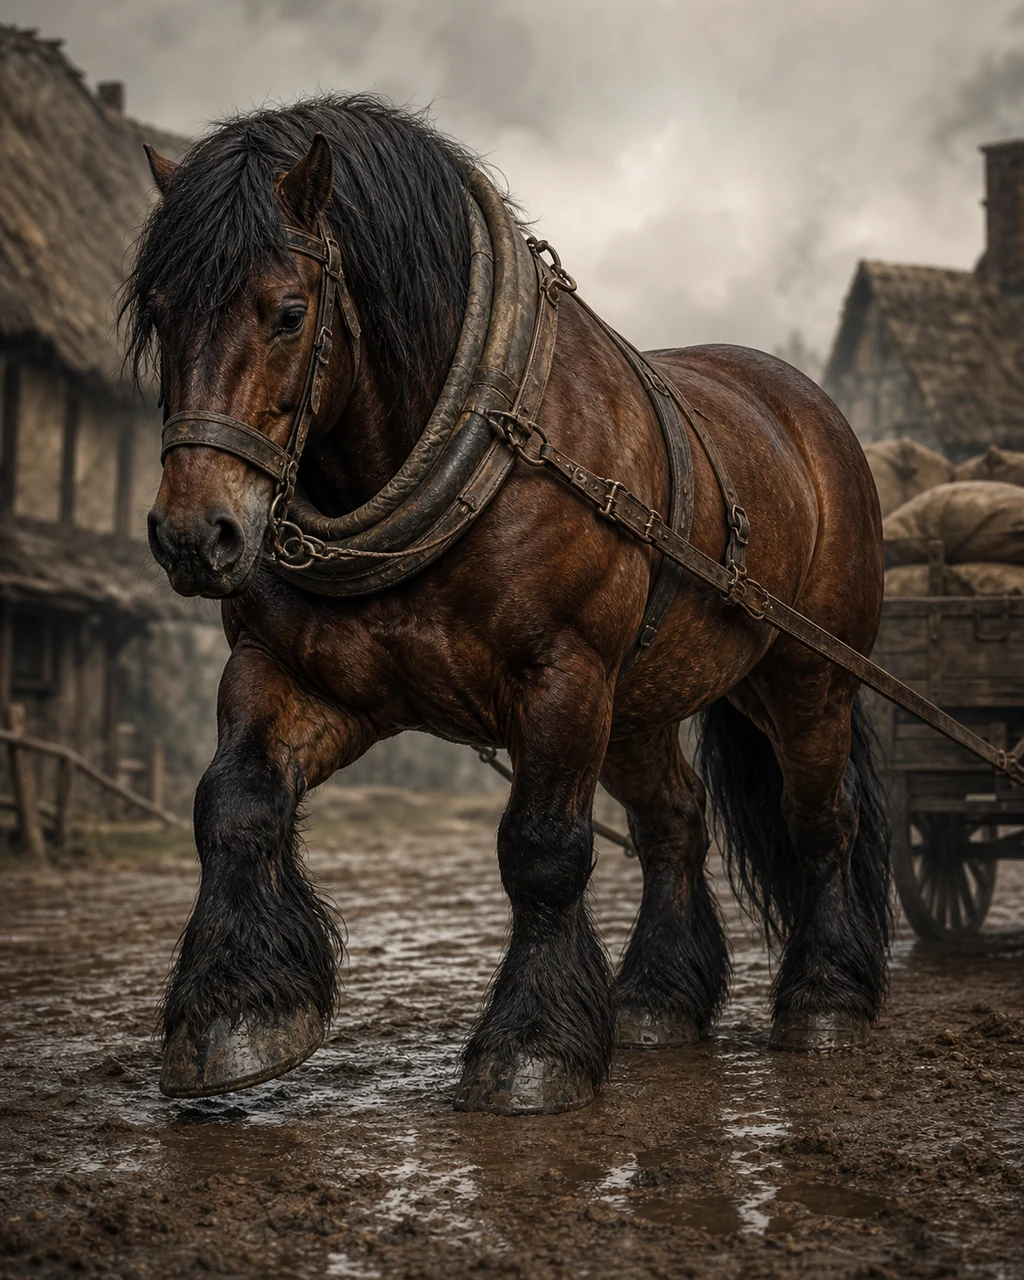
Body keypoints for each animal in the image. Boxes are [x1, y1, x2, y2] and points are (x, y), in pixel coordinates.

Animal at [123, 93, 890, 1116]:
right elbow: (233, 801)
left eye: (288, 313)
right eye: (160, 313)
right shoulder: (296, 674)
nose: (191, 534)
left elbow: (541, 851)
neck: (476, 437)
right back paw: (656, 997)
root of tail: (811, 410)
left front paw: (532, 1049)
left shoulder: (561, 677)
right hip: (639, 700)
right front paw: (237, 1013)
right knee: (675, 820)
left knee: (821, 822)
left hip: (805, 676)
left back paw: (827, 996)